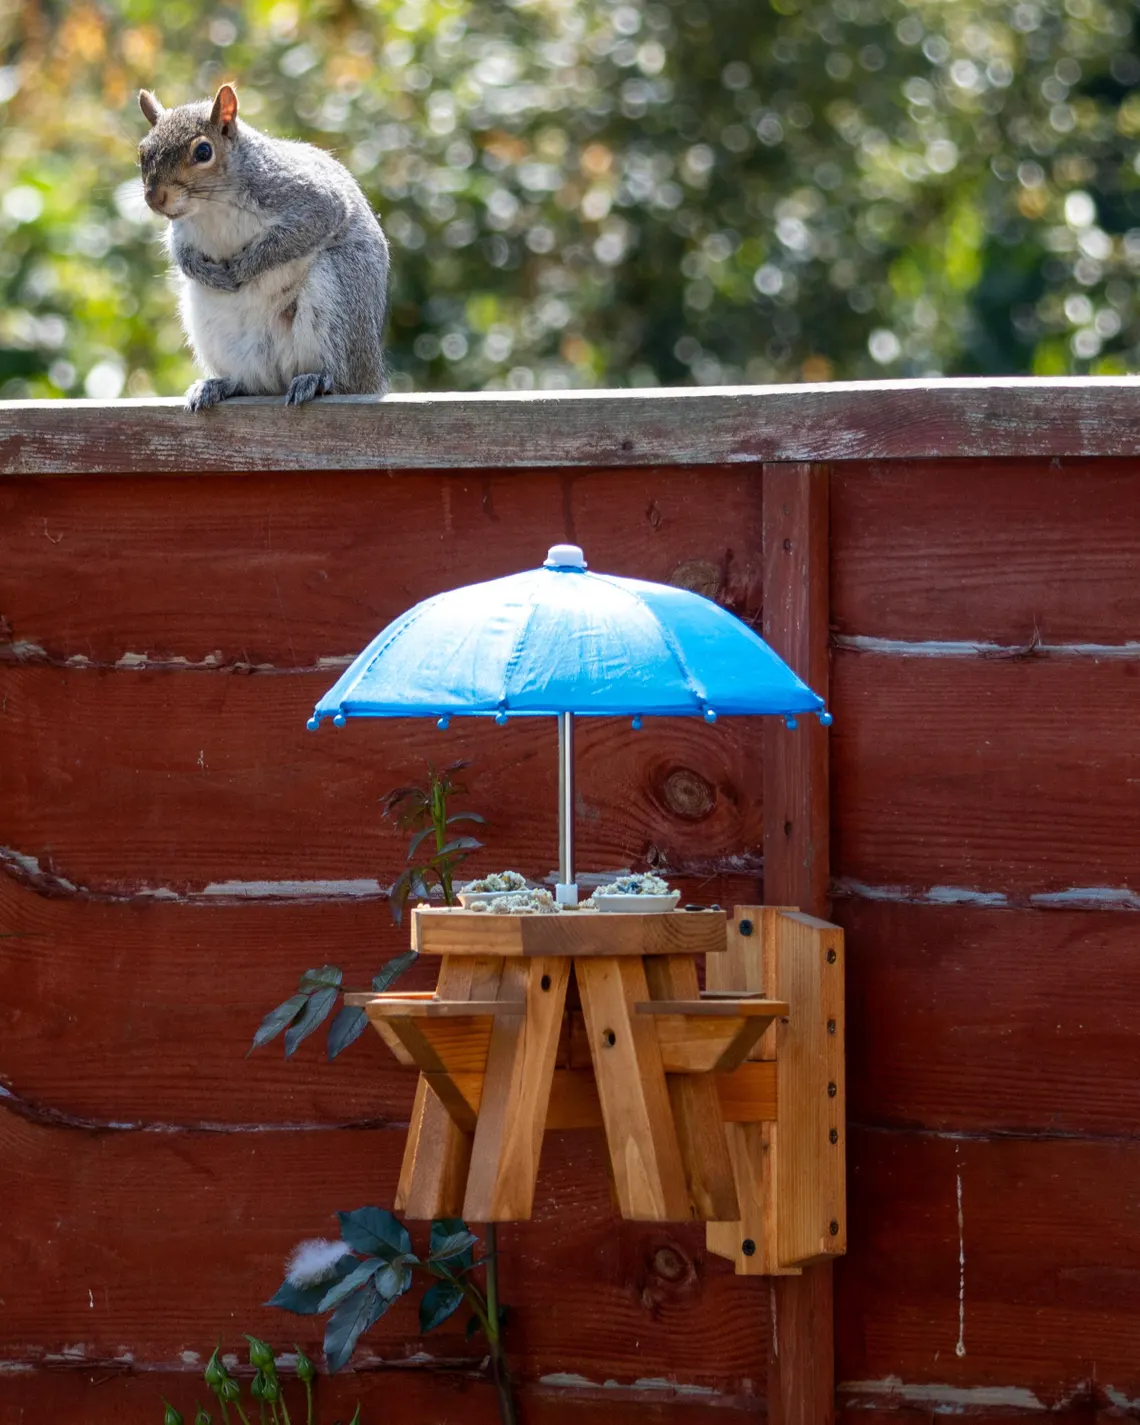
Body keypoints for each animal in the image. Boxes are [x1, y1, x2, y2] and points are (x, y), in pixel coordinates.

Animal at [137, 84, 389, 412]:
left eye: (203, 151)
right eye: (142, 151)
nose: (155, 198)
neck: (211, 206)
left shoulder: (303, 197)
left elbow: (302, 230)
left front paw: (243, 269)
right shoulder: (181, 232)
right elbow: (181, 254)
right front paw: (209, 273)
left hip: (338, 290)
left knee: (341, 378)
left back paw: (317, 380)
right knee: (253, 382)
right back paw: (218, 385)